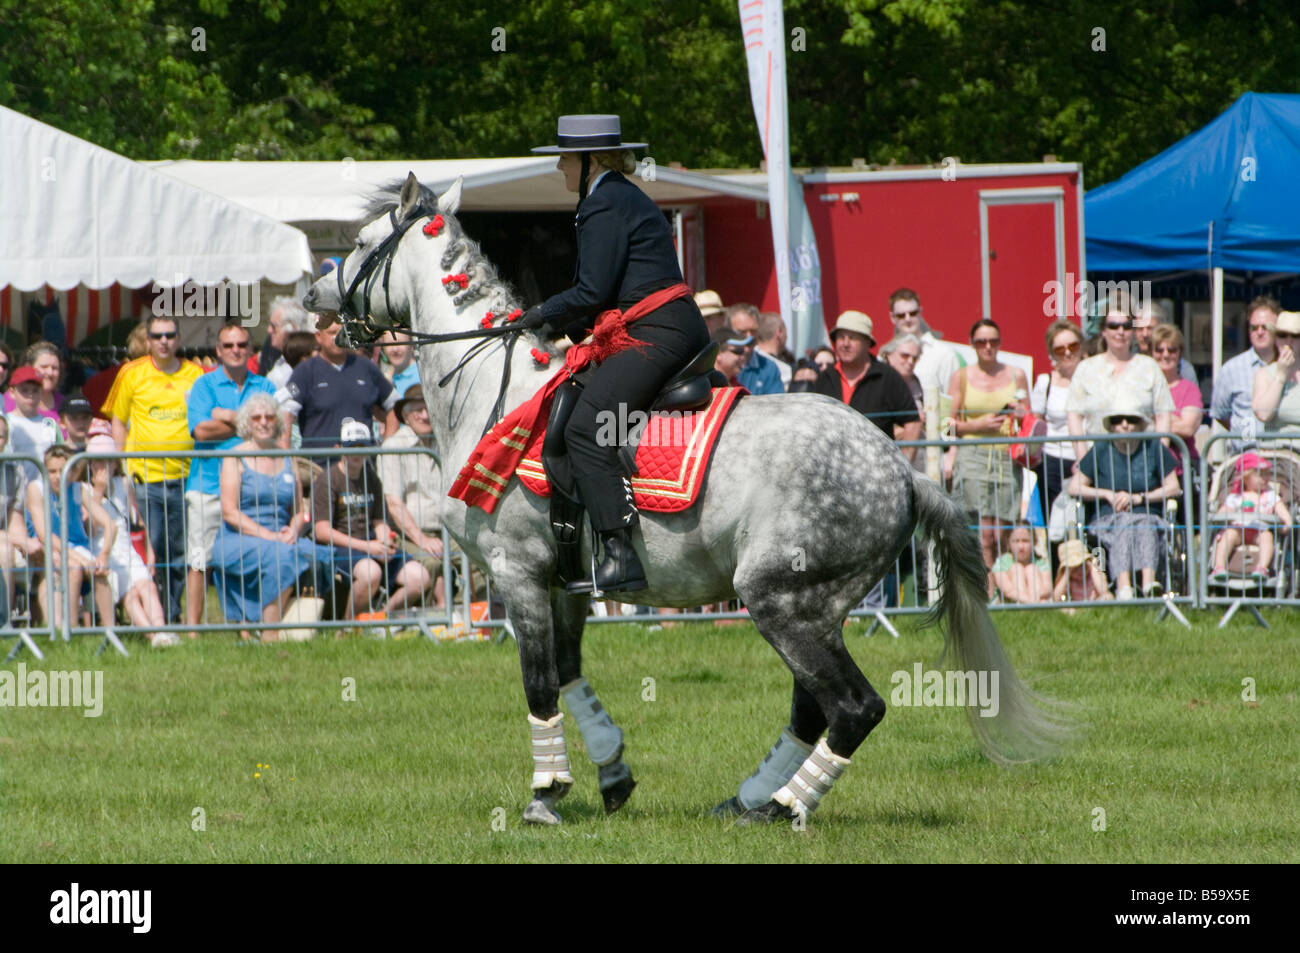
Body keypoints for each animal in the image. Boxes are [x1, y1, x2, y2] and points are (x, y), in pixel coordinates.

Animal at [301, 176, 1066, 826]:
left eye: (363, 243)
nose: (312, 298)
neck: (493, 389)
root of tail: (901, 472)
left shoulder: (517, 573)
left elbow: (540, 684)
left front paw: (546, 795)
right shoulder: (564, 584)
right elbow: (573, 675)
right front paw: (611, 774)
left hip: (779, 599)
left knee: (854, 707)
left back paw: (785, 803)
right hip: (817, 606)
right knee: (813, 708)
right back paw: (752, 800)